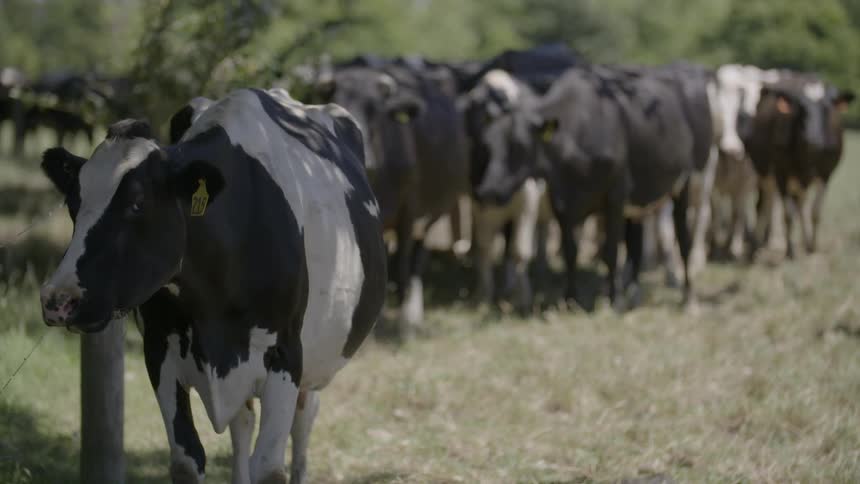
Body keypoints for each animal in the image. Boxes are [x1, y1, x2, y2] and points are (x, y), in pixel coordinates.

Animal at [38, 88, 387, 484]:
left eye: (137, 203)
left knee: (303, 420)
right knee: (243, 422)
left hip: (314, 359)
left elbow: (269, 468)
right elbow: (188, 459)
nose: (58, 299)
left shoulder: (286, 355)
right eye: (72, 203)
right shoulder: (159, 350)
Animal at [316, 62, 470, 333]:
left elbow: (401, 270)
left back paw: (413, 315)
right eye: (335, 107)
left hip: (430, 215)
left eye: (376, 111)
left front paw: (404, 327)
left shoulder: (409, 211)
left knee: (415, 260)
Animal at [475, 65, 700, 310]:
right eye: (489, 145)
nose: (488, 191)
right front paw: (570, 299)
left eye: (519, 145)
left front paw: (614, 300)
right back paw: (634, 296)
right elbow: (570, 252)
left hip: (683, 184)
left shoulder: (616, 196)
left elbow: (611, 251)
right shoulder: (561, 202)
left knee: (684, 240)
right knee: (636, 247)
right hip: (638, 206)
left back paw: (688, 297)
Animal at [745, 74, 854, 258]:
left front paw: (813, 246)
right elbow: (788, 214)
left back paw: (806, 241)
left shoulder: (826, 174)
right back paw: (755, 246)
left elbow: (815, 212)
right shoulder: (781, 173)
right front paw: (790, 251)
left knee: (800, 204)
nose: (813, 139)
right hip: (765, 173)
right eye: (801, 109)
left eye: (826, 109)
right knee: (765, 205)